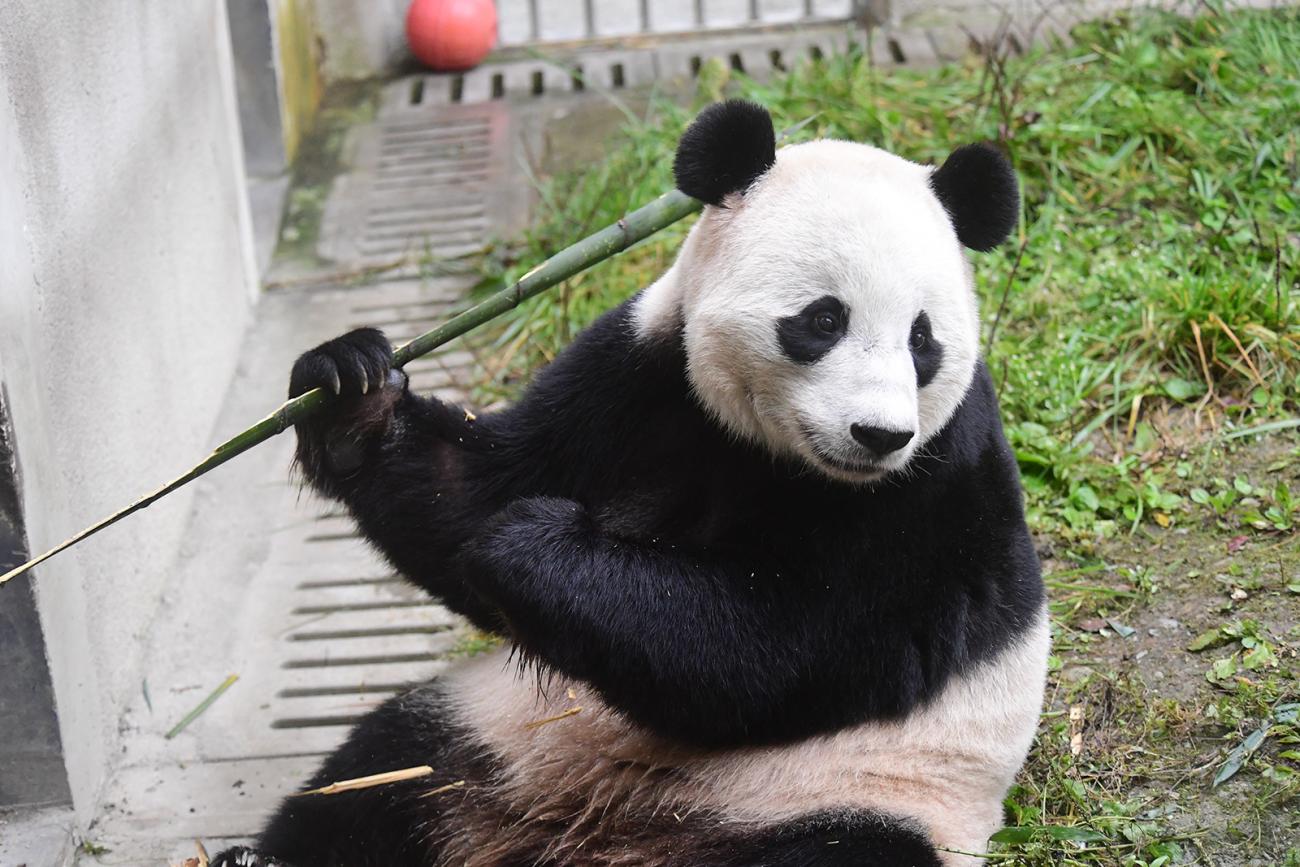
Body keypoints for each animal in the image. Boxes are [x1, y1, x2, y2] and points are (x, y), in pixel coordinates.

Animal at [213, 100, 1045, 867]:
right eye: (823, 319)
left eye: (923, 339)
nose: (878, 434)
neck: (776, 452)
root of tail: (591, 834)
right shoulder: (643, 370)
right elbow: (475, 495)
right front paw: (350, 390)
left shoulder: (931, 491)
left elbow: (780, 646)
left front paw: (532, 545)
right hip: (495, 729)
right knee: (382, 775)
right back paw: (261, 857)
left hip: (848, 792)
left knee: (840, 850)